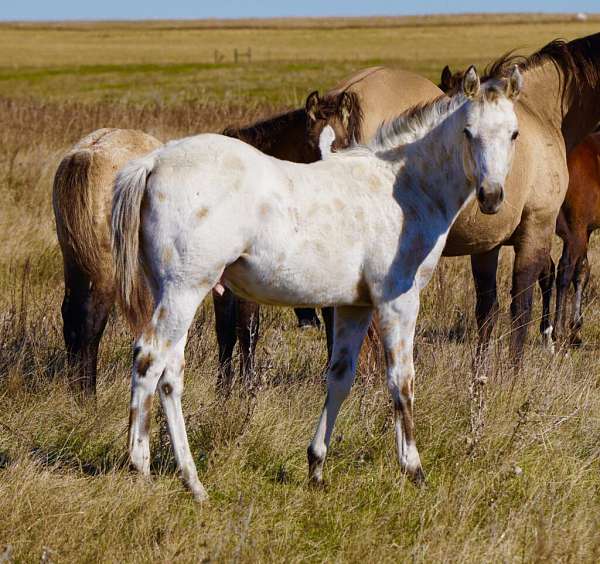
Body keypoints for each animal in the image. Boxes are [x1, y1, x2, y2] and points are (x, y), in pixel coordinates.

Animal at [52, 128, 162, 392]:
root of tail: (83, 156)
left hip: (74, 263)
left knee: (70, 318)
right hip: (105, 271)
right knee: (89, 323)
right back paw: (87, 394)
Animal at [111, 64, 520, 500]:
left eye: (513, 133)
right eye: (468, 131)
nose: (492, 196)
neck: (404, 190)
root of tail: (155, 161)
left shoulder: (354, 306)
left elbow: (340, 377)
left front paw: (316, 467)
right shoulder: (398, 301)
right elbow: (402, 381)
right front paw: (414, 469)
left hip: (172, 293)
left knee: (171, 375)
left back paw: (192, 480)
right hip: (184, 290)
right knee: (149, 359)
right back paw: (141, 468)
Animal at [318, 34, 600, 362]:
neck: (540, 109)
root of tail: (349, 94)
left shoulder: (487, 243)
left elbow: (488, 310)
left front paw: (482, 372)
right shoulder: (537, 230)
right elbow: (521, 308)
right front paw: (515, 371)